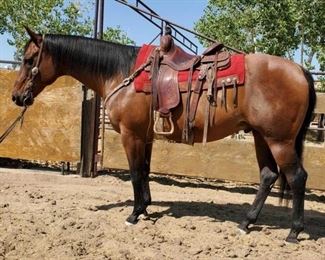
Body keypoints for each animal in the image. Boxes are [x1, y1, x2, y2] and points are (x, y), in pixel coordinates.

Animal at [12, 27, 314, 243]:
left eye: (29, 60)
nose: (16, 97)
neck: (122, 73)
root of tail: (300, 70)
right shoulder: (144, 137)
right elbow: (145, 171)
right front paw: (146, 207)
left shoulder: (131, 135)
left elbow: (135, 173)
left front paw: (134, 214)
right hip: (262, 137)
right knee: (268, 176)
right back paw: (246, 223)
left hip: (279, 141)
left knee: (297, 177)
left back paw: (294, 232)